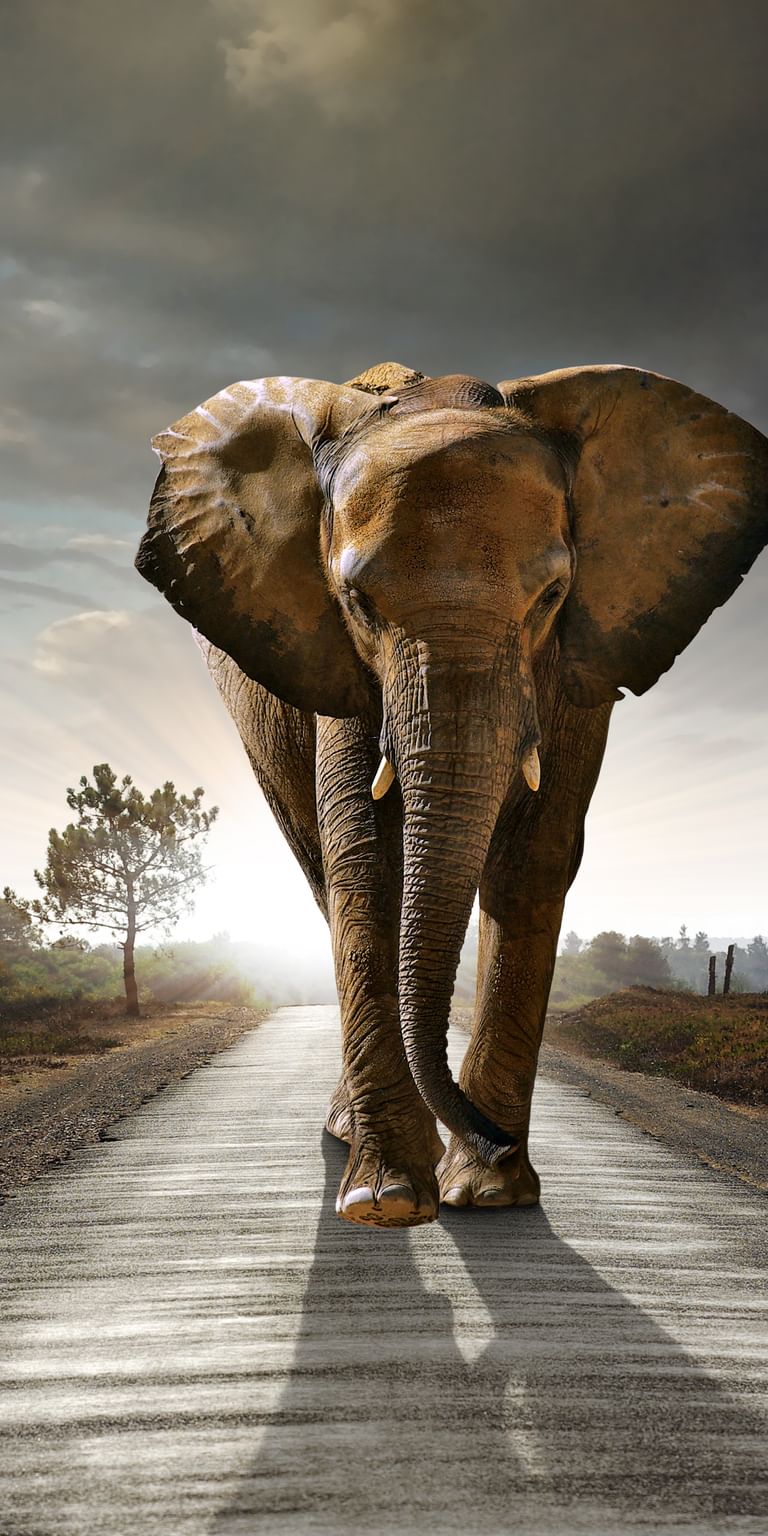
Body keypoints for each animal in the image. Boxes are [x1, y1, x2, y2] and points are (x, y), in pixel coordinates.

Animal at [136, 359, 768, 1229]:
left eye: (552, 596)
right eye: (358, 602)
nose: (494, 1139)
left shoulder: (582, 659)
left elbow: (535, 857)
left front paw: (492, 1192)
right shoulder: (336, 661)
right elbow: (367, 858)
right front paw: (391, 1200)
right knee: (321, 870)